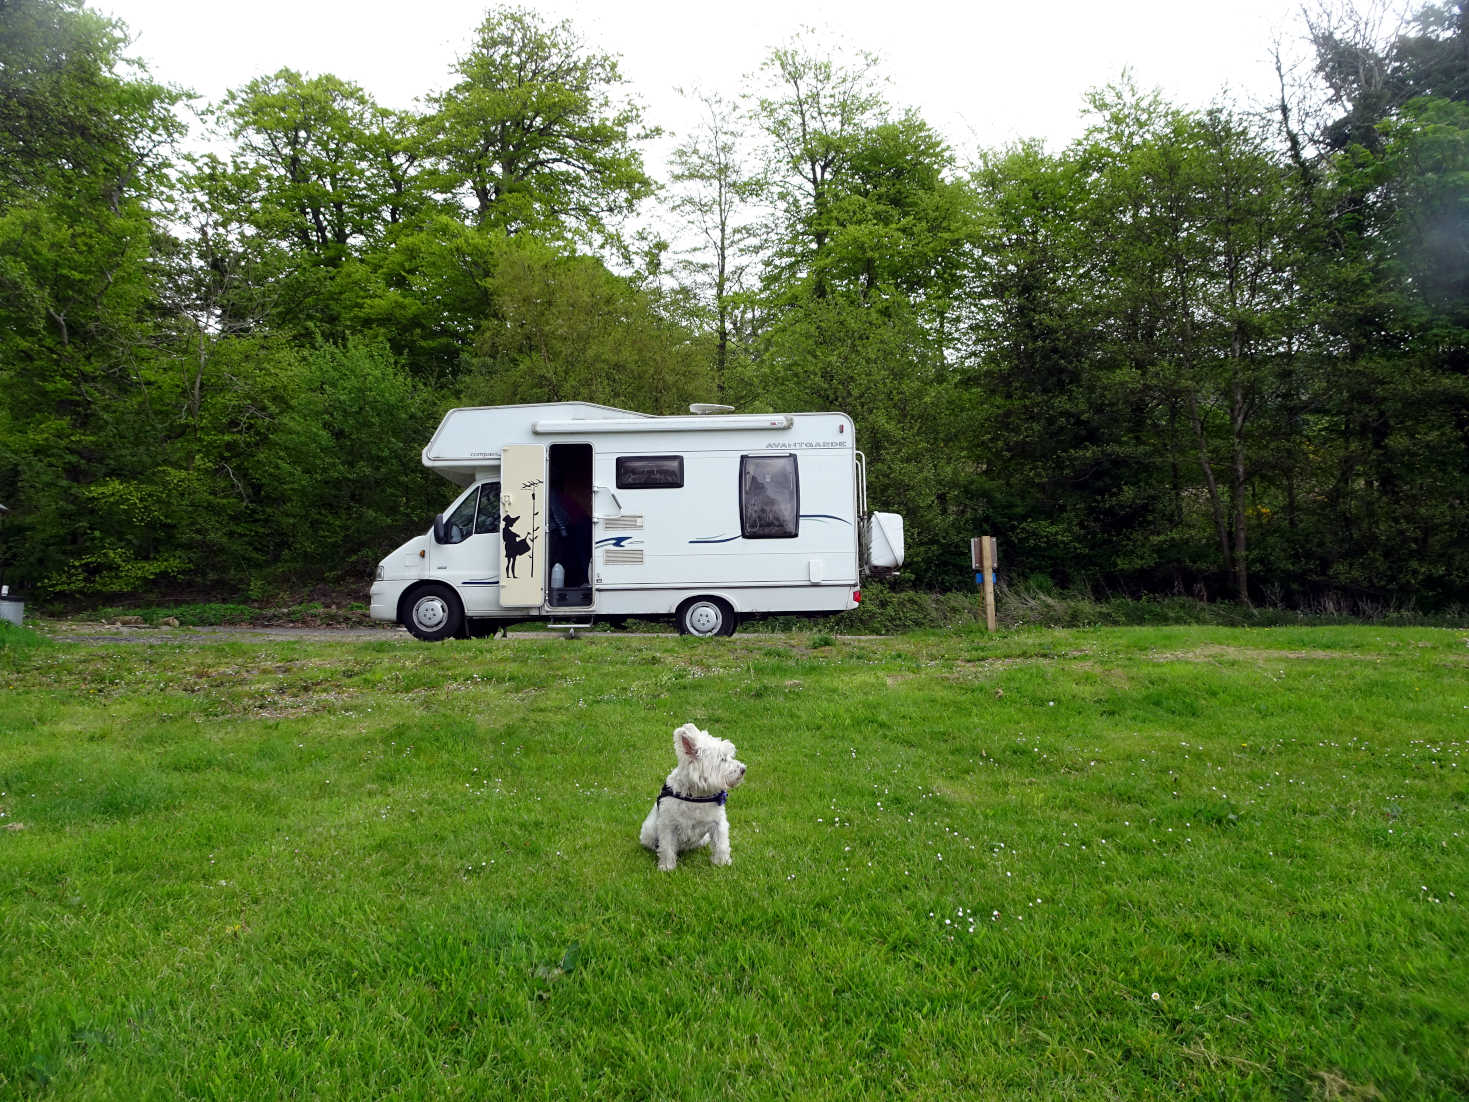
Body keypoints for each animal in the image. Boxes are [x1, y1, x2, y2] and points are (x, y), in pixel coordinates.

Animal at [637, 725, 746, 869]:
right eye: (722, 759)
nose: (743, 769)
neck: (697, 796)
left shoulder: (718, 822)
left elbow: (721, 844)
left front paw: (722, 863)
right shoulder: (668, 825)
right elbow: (666, 847)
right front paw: (666, 866)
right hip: (648, 831)